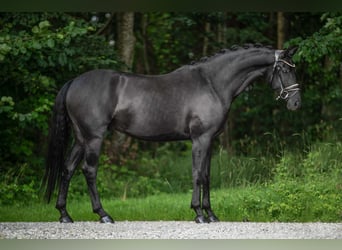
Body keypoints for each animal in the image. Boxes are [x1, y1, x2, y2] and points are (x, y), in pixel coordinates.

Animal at [42, 44, 300, 224]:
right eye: (283, 69)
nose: (296, 103)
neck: (213, 84)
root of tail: (74, 81)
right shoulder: (200, 139)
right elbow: (197, 174)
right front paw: (198, 213)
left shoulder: (210, 141)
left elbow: (207, 175)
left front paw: (211, 214)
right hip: (94, 138)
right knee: (89, 171)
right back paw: (103, 214)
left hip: (80, 138)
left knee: (67, 169)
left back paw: (64, 214)